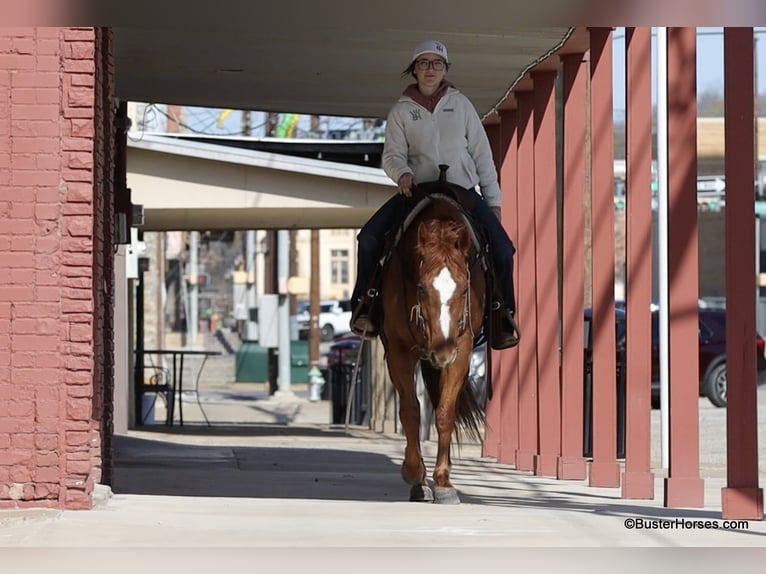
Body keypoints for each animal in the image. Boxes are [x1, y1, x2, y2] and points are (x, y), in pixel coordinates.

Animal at [378, 170, 488, 505]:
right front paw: (415, 474)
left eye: (464, 290)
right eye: (422, 288)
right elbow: (411, 411)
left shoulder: (462, 350)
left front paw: (443, 482)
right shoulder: (399, 351)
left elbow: (444, 413)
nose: (442, 352)